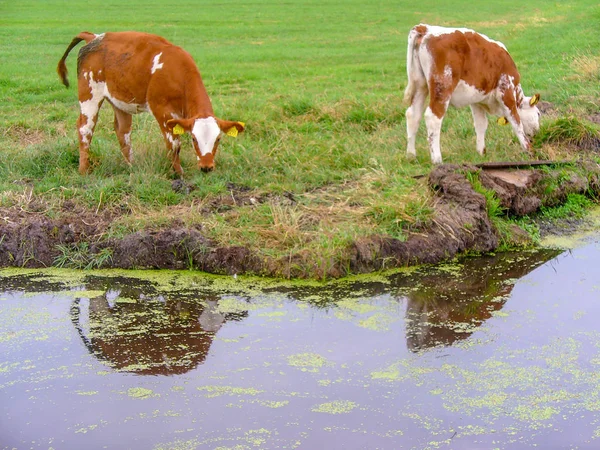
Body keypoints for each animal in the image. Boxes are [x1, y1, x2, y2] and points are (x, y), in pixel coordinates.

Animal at [56, 31, 244, 176]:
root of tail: (95, 37)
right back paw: (84, 170)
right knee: (85, 128)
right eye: (193, 138)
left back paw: (131, 166)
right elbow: (174, 144)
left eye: (218, 138)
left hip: (119, 101)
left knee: (123, 131)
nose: (206, 167)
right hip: (90, 95)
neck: (177, 72)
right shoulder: (161, 110)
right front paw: (177, 173)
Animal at [406, 23, 540, 164]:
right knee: (433, 117)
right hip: (442, 87)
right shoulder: (506, 90)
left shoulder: (477, 100)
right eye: (538, 113)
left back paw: (411, 156)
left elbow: (481, 125)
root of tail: (425, 28)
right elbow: (516, 122)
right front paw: (529, 150)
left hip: (420, 85)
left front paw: (481, 152)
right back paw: (437, 159)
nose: (537, 132)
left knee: (413, 115)